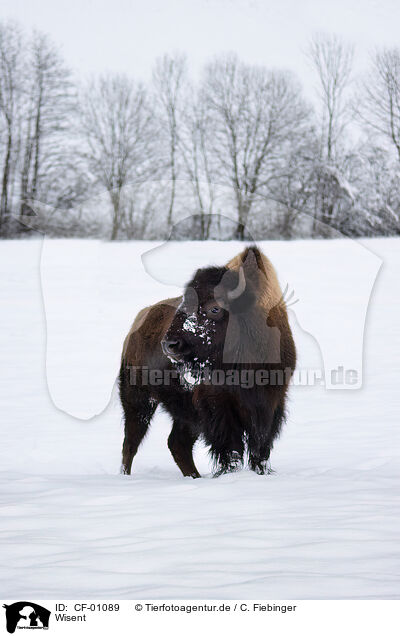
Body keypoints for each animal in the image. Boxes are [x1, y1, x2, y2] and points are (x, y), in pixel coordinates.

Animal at [118, 246, 294, 480]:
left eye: (214, 308)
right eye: (184, 302)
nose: (170, 344)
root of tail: (139, 321)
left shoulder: (270, 404)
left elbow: (260, 449)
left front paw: (260, 473)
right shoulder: (217, 406)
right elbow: (231, 448)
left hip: (182, 414)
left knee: (176, 443)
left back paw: (194, 477)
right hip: (139, 399)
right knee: (131, 443)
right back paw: (125, 476)